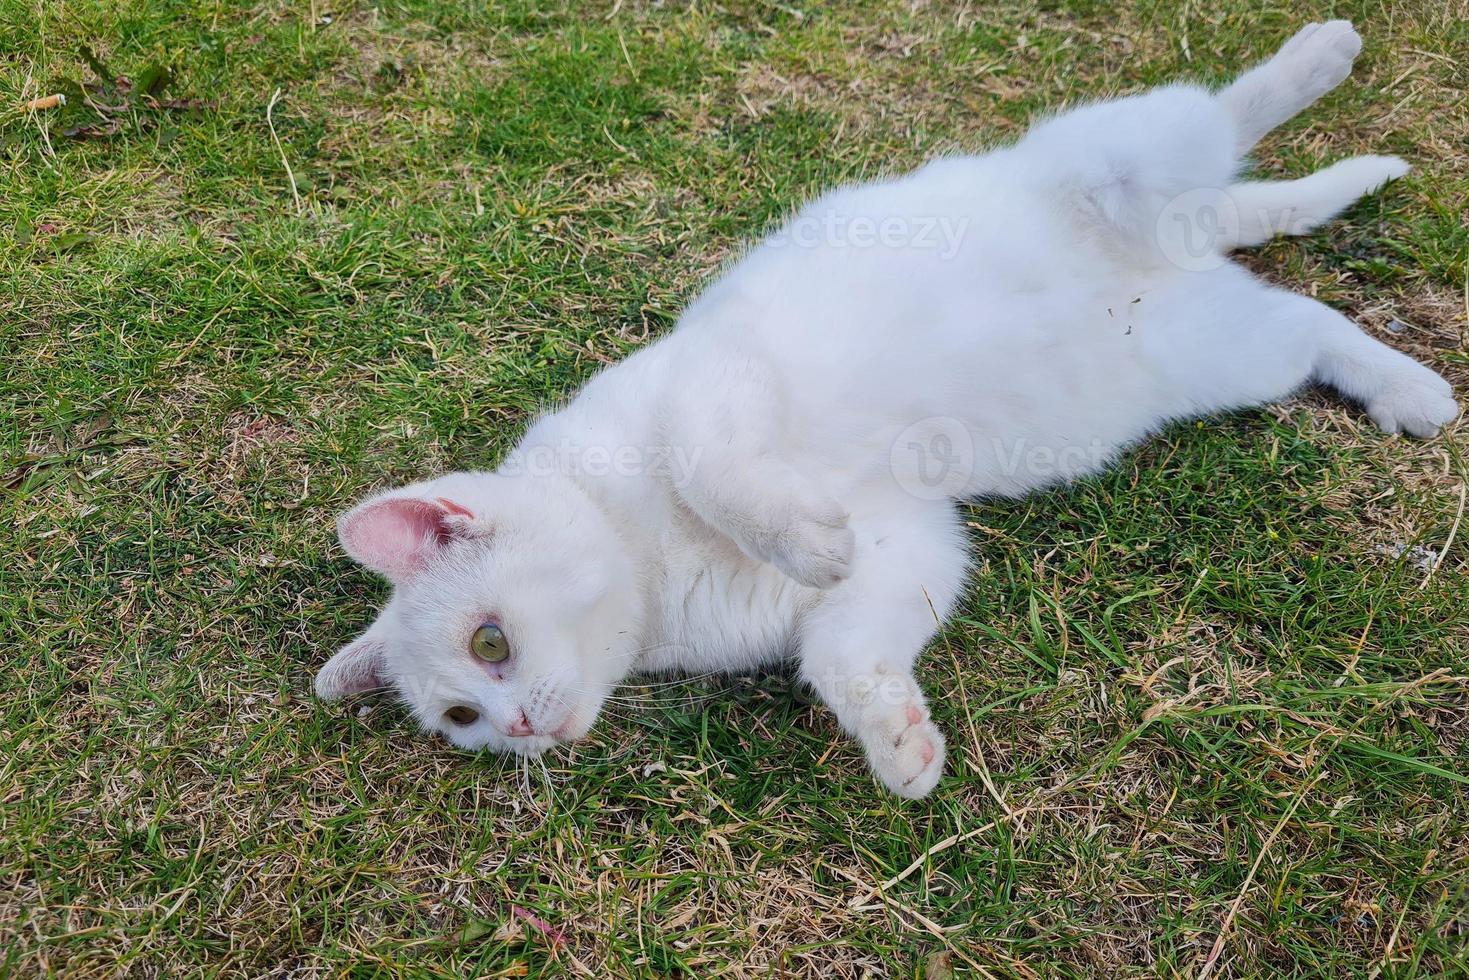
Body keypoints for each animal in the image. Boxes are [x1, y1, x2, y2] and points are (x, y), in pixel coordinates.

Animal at [312, 22, 1457, 799]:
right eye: (462, 714)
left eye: (488, 643)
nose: (518, 734)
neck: (648, 571)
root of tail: (1176, 243)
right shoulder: (911, 544)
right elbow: (842, 653)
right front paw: (895, 739)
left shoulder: (715, 380)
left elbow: (717, 475)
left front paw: (799, 540)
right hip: (1216, 350)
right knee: (1300, 306)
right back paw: (1401, 384)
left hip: (1120, 160)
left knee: (1218, 118)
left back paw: (1318, 58)